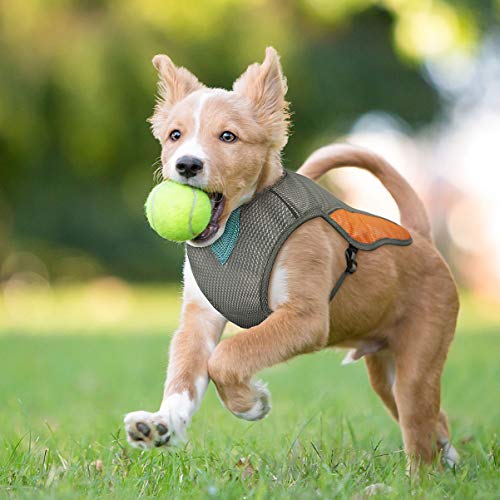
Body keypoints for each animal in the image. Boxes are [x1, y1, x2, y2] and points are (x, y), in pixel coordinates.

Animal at [123, 47, 458, 468]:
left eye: (228, 136)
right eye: (175, 135)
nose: (186, 164)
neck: (235, 231)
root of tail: (422, 238)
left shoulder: (304, 316)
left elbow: (227, 356)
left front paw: (250, 404)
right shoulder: (198, 320)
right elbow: (183, 376)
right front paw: (161, 423)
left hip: (417, 363)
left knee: (420, 434)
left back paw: (419, 476)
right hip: (385, 373)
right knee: (436, 420)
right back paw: (450, 461)